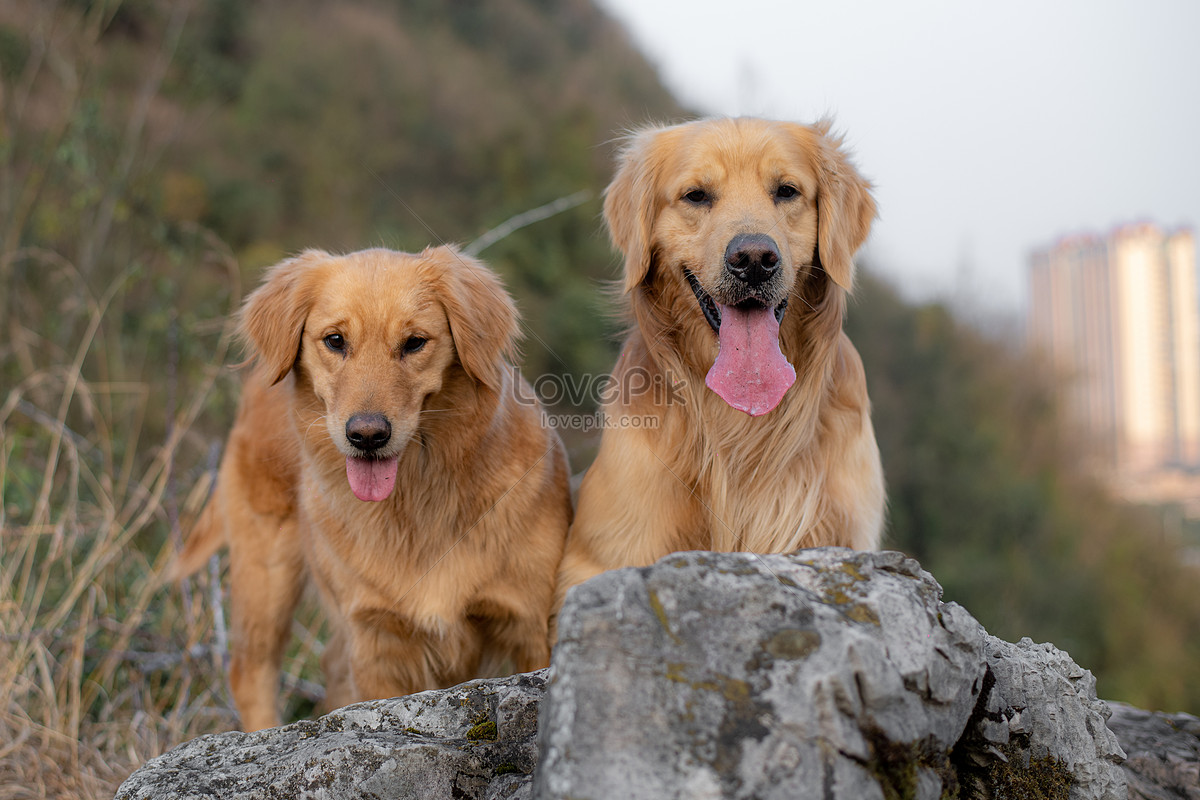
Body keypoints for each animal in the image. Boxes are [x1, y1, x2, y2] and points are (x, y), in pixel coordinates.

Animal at [175, 245, 573, 734]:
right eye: (335, 340)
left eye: (415, 342)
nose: (367, 436)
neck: (418, 500)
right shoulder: (377, 642)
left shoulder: (530, 625)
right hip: (265, 571)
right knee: (251, 672)